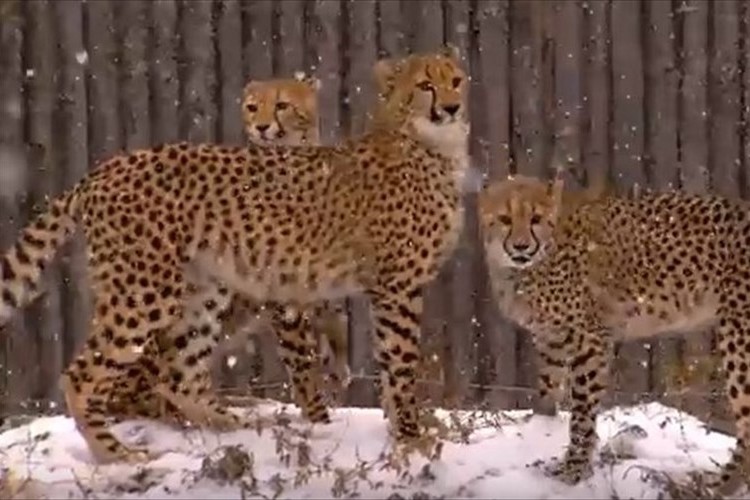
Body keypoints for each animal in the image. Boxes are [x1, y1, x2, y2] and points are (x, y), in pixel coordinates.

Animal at [0, 45, 470, 462]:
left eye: (457, 81)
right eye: (425, 85)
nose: (451, 107)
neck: (429, 143)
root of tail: (102, 169)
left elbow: (382, 363)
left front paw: (398, 429)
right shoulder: (396, 287)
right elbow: (400, 364)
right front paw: (410, 436)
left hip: (203, 288)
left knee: (179, 374)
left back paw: (236, 424)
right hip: (144, 292)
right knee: (83, 375)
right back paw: (116, 455)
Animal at [482, 174, 750, 494]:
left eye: (535, 219)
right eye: (504, 219)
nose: (521, 247)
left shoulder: (588, 341)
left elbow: (582, 412)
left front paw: (573, 469)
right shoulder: (550, 339)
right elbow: (547, 392)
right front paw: (540, 434)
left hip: (739, 338)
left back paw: (720, 484)